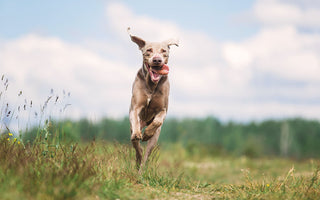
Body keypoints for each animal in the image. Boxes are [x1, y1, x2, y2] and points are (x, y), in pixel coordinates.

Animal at [127, 28, 179, 169]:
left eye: (164, 51)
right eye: (149, 50)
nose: (157, 60)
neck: (152, 85)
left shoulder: (163, 109)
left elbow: (158, 120)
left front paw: (147, 133)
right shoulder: (135, 108)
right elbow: (135, 117)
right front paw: (139, 134)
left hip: (155, 139)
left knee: (146, 155)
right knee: (137, 146)